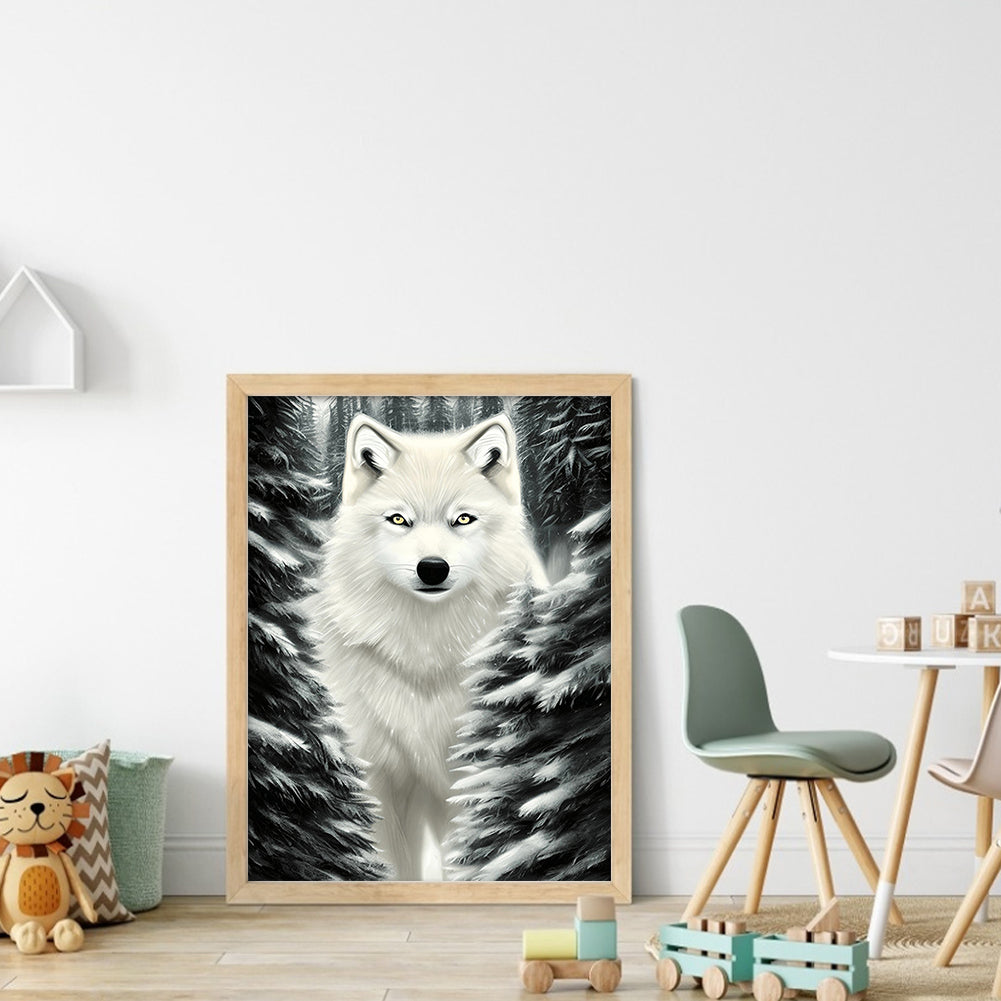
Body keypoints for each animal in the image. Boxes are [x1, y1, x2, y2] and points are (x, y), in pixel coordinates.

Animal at [312, 411, 547, 880]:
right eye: (399, 520)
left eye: (463, 520)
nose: (433, 568)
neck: (427, 651)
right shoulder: (378, 774)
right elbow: (388, 862)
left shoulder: (469, 775)